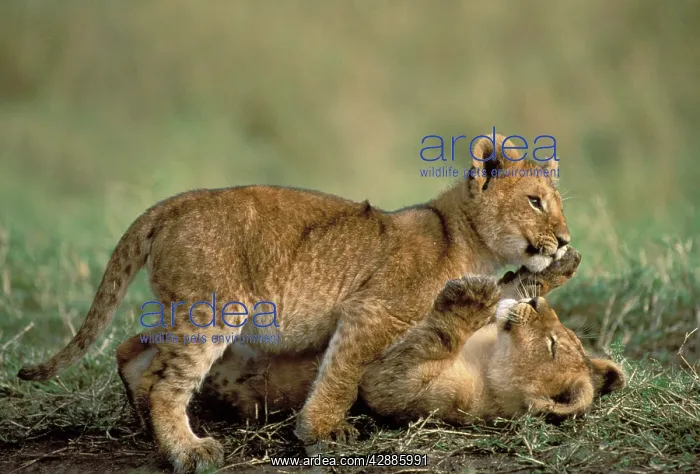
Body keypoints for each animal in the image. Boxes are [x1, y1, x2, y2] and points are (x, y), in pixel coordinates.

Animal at [18, 133, 570, 474]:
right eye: (535, 201)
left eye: (558, 203)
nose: (565, 240)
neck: (466, 238)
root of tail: (176, 201)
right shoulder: (372, 311)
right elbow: (342, 373)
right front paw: (320, 432)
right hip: (215, 309)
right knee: (167, 384)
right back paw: (190, 451)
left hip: (181, 310)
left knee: (136, 354)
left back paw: (146, 428)